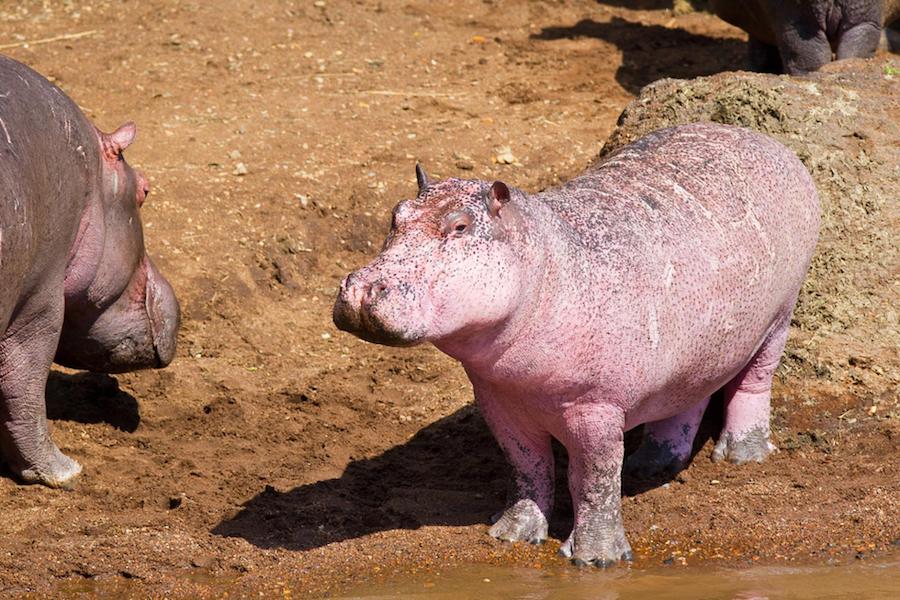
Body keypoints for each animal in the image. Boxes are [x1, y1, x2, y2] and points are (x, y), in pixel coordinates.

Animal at [332, 123, 824, 568]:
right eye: (395, 214)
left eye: (460, 225)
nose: (362, 289)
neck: (545, 261)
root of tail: (770, 143)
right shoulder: (499, 401)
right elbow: (526, 468)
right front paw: (510, 535)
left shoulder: (596, 406)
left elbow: (593, 478)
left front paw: (596, 559)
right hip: (697, 350)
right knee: (687, 398)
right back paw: (651, 465)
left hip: (780, 316)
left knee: (755, 381)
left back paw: (741, 455)